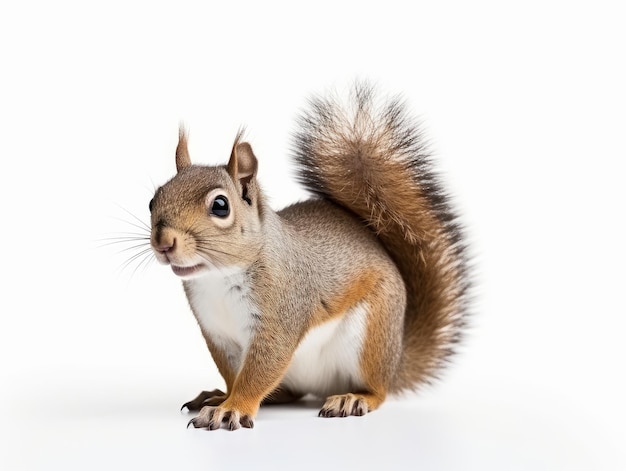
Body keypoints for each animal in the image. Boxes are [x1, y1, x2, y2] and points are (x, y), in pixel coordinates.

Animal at [146, 84, 468, 432]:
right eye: (153, 200)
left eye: (220, 206)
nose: (164, 243)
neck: (218, 277)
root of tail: (395, 360)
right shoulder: (217, 334)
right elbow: (235, 374)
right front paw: (225, 398)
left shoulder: (282, 315)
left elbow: (259, 370)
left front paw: (231, 409)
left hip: (371, 335)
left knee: (378, 390)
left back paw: (353, 398)